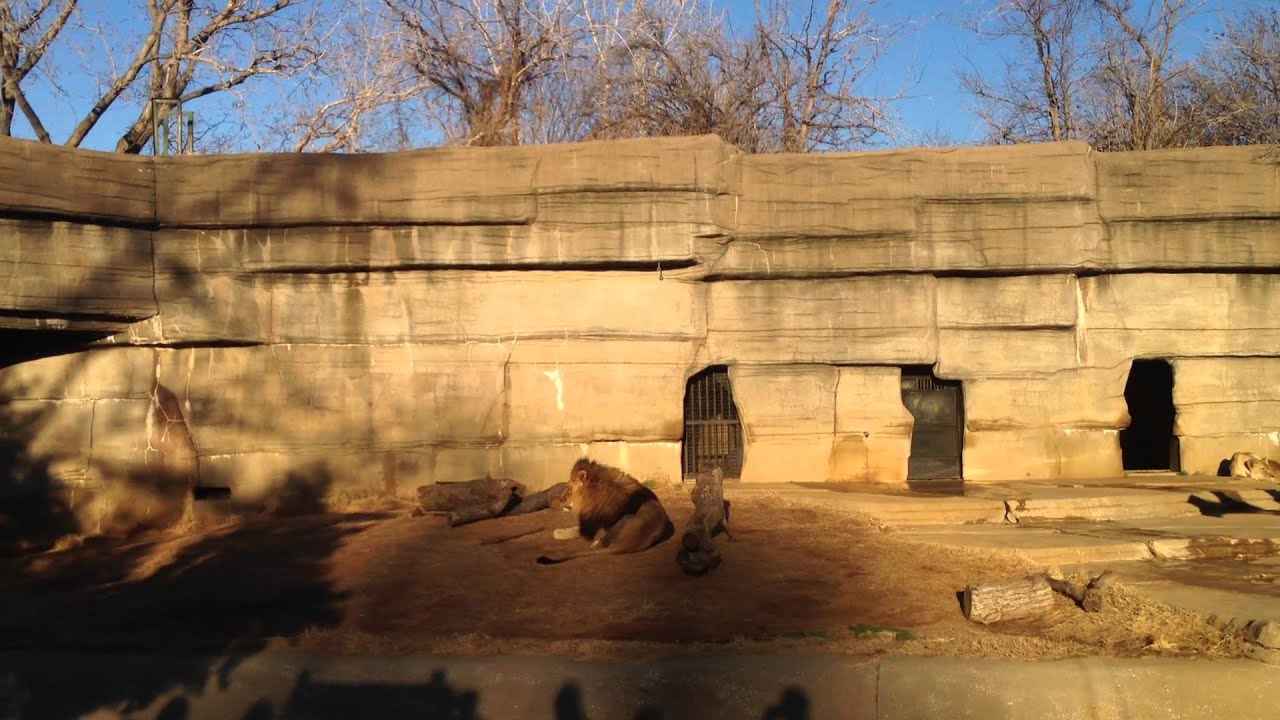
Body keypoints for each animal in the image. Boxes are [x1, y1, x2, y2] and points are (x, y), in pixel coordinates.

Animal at [535, 458, 675, 565]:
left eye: (568, 489)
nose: (559, 499)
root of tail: (630, 543)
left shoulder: (591, 527)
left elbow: (574, 530)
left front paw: (558, 532)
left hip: (625, 519)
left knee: (601, 544)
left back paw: (596, 543)